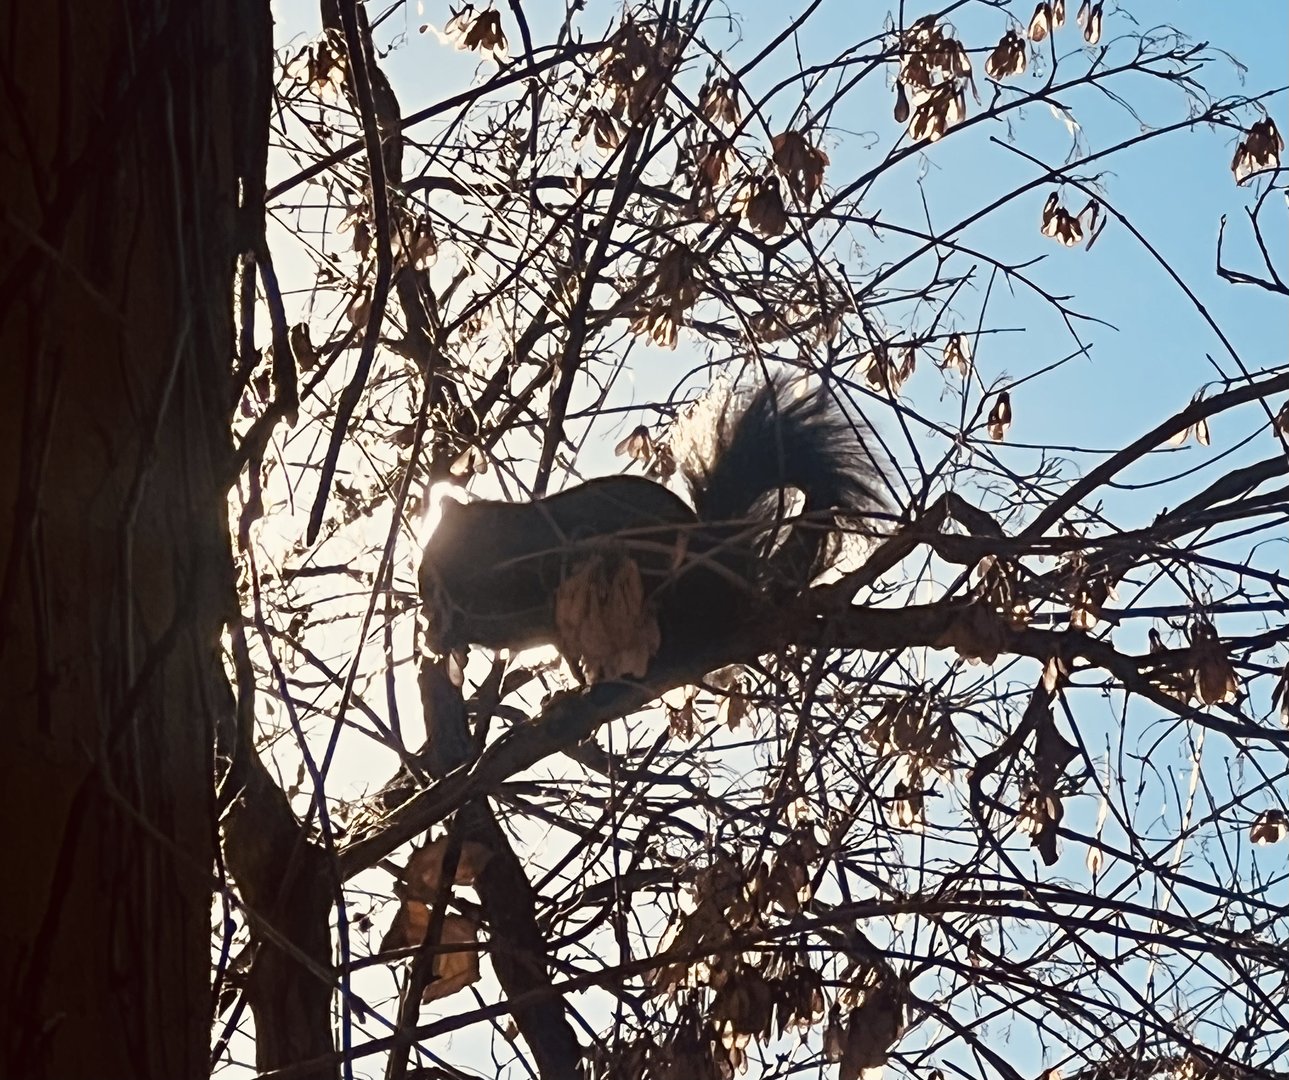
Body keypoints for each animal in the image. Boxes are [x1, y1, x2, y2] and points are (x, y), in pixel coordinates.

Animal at [419, 377, 889, 681]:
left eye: (444, 549)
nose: (425, 592)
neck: (504, 540)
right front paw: (443, 634)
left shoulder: (532, 569)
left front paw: (448, 628)